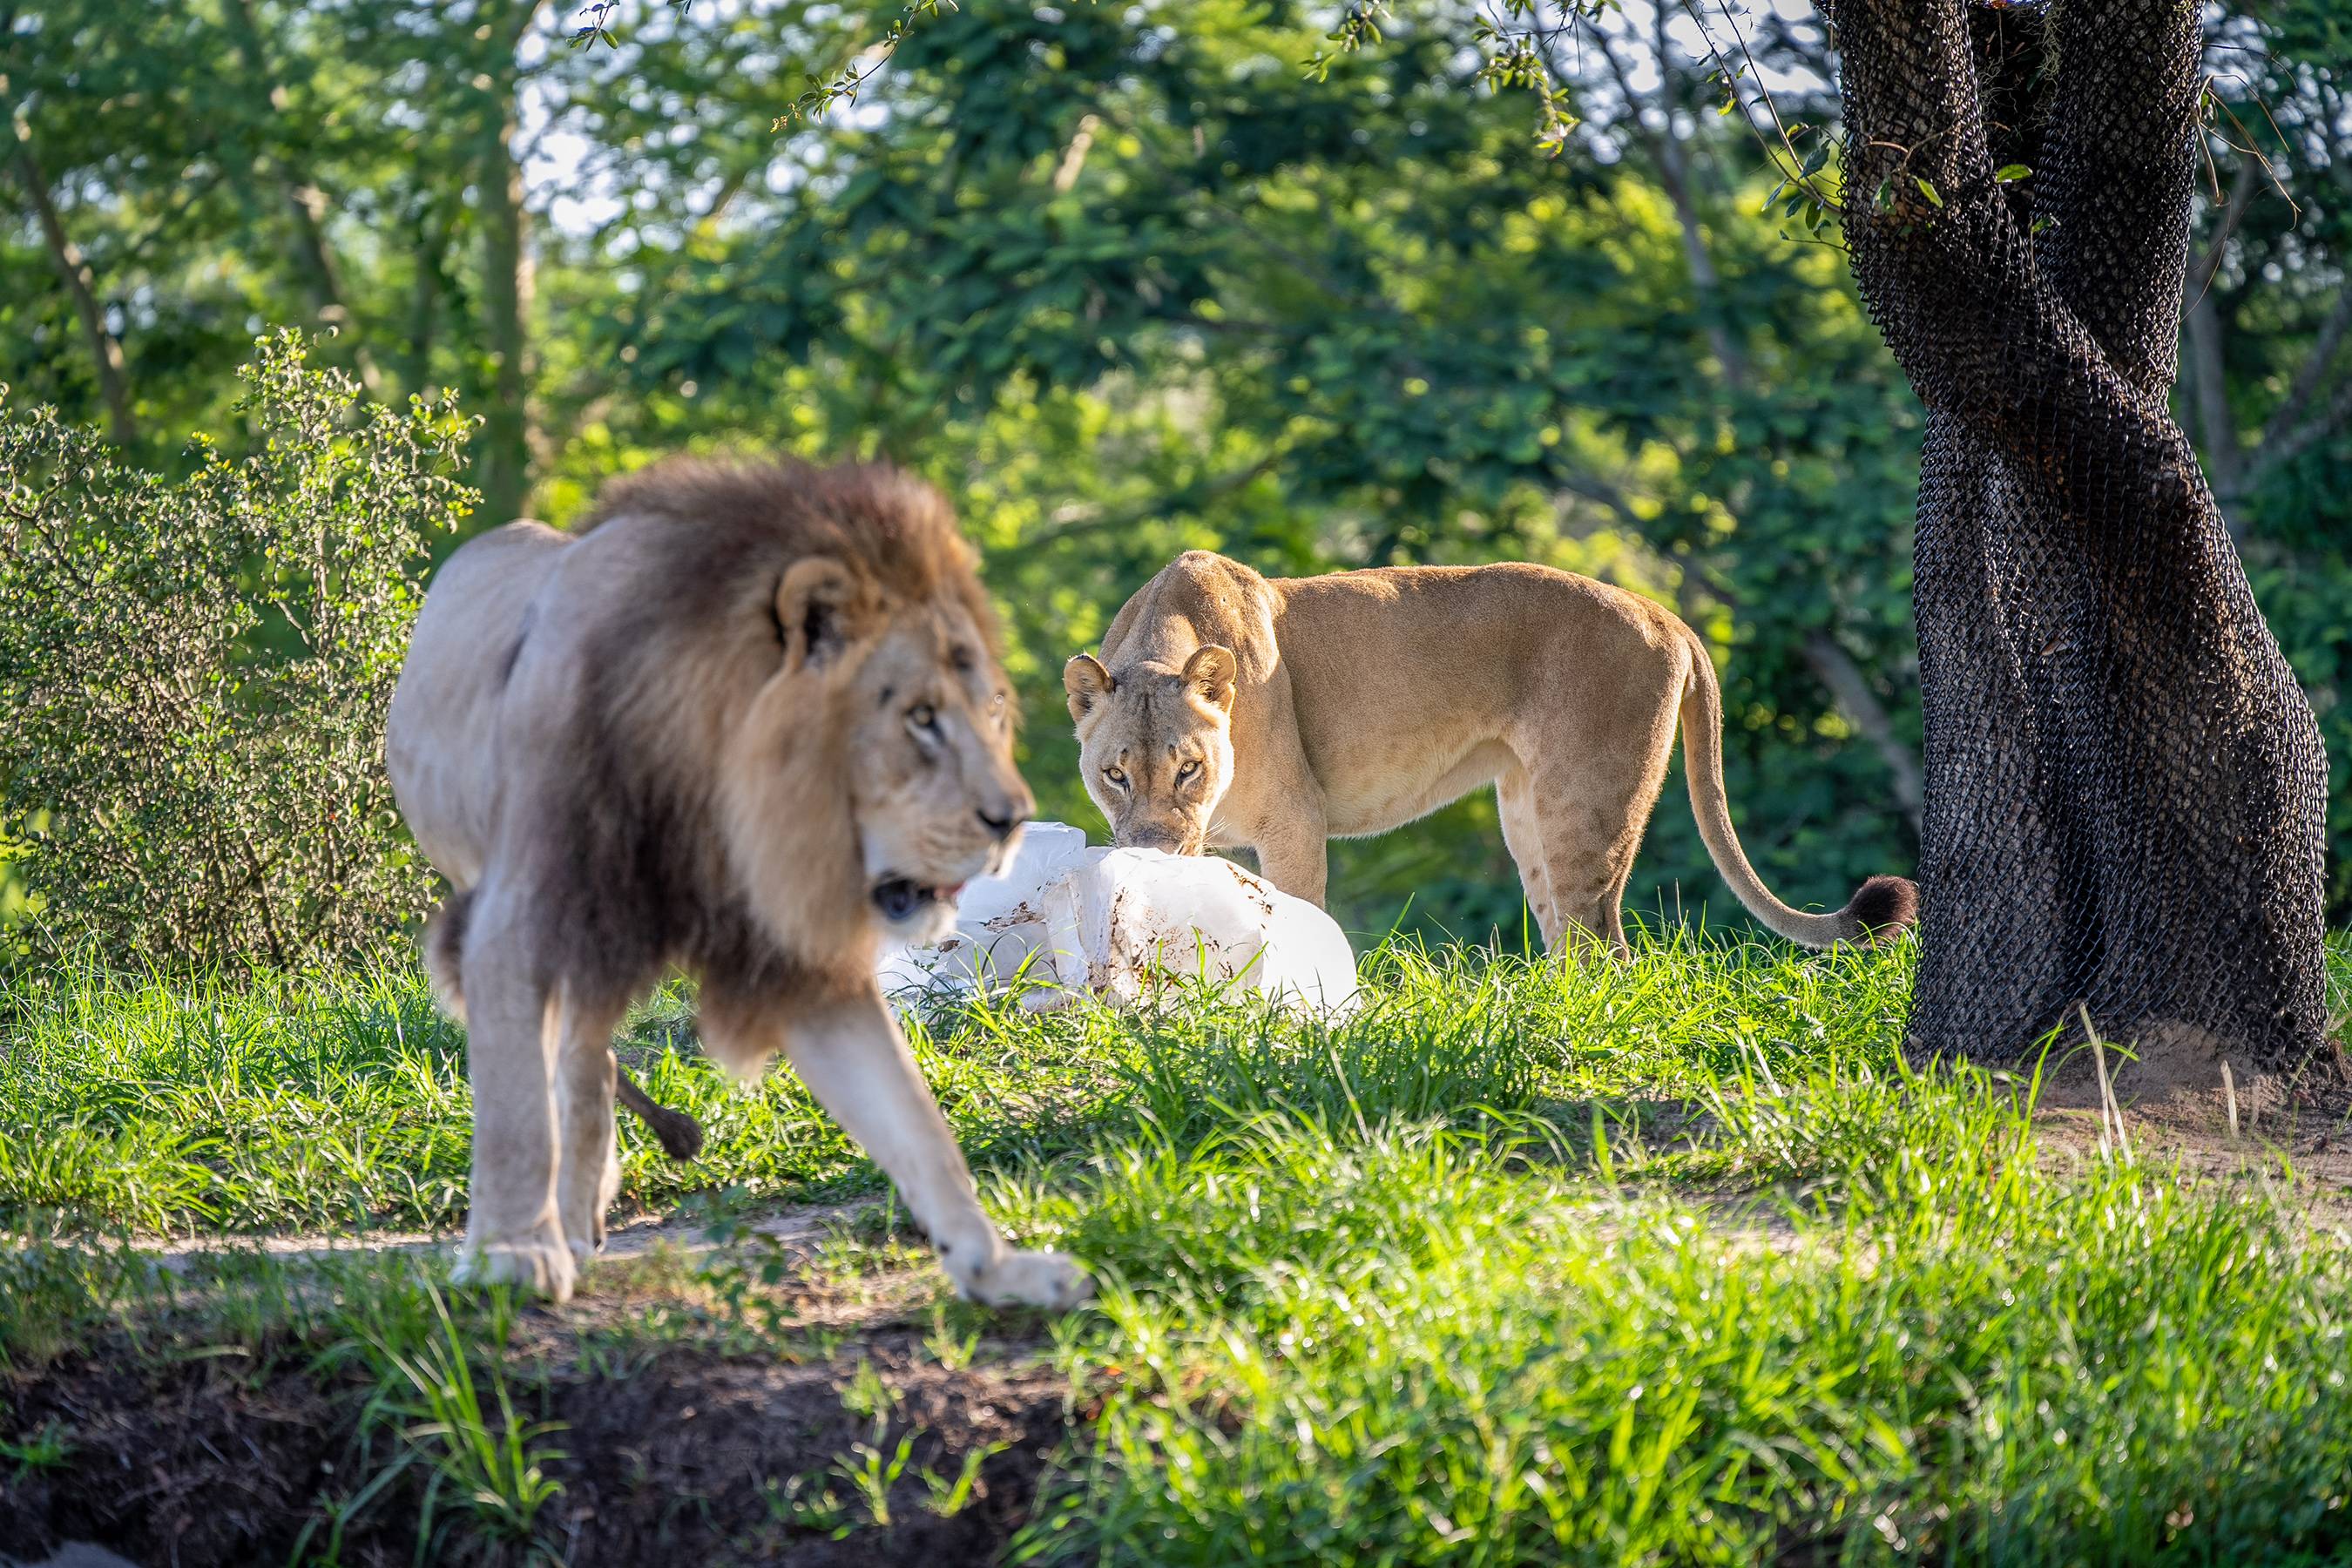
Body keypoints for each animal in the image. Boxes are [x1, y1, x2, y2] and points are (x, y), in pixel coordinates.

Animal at [392, 456, 1091, 1316]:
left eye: (991, 711)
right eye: (920, 717)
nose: (1012, 821)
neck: (710, 789)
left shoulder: (792, 954)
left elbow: (916, 1125)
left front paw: (996, 1268)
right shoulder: (517, 923)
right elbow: (517, 1114)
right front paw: (512, 1257)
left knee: (588, 1061)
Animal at [1067, 552, 1909, 950]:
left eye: (1190, 768)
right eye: (1114, 775)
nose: (1150, 851)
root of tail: (1665, 613)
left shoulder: (1295, 821)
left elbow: (1301, 913)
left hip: (1586, 807)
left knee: (1605, 945)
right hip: (1528, 809)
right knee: (1568, 936)